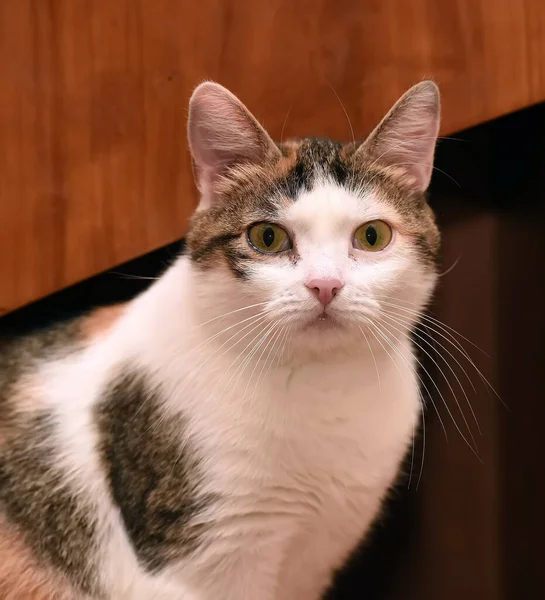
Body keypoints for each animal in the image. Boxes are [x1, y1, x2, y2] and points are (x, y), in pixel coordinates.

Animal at [0, 81, 440, 600]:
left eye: (372, 236)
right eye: (267, 238)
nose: (325, 285)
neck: (321, 389)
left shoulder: (314, 558)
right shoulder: (202, 559)